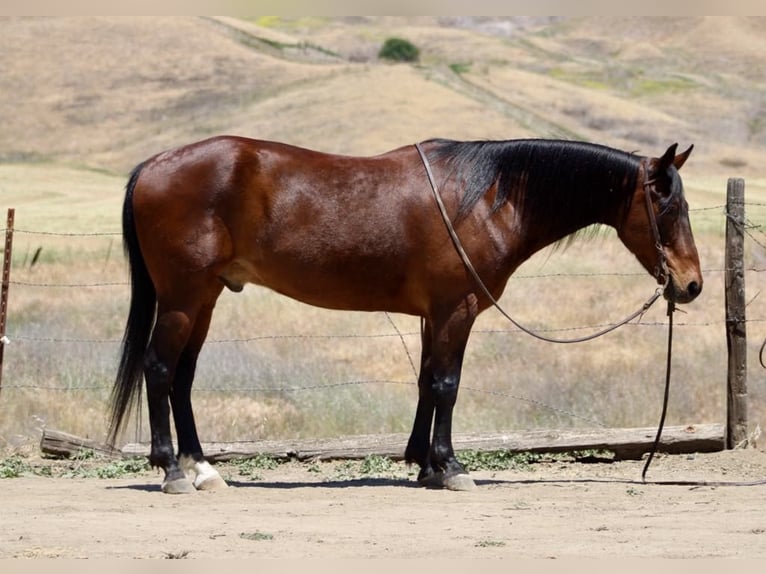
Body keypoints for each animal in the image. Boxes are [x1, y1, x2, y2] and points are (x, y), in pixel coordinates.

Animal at [107, 136, 702, 493]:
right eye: (669, 207)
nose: (692, 285)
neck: (484, 198)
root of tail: (152, 166)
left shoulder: (432, 314)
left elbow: (425, 382)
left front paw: (423, 464)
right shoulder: (456, 310)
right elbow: (446, 385)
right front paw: (451, 466)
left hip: (203, 298)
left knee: (182, 378)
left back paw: (202, 468)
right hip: (183, 298)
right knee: (159, 370)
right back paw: (171, 470)